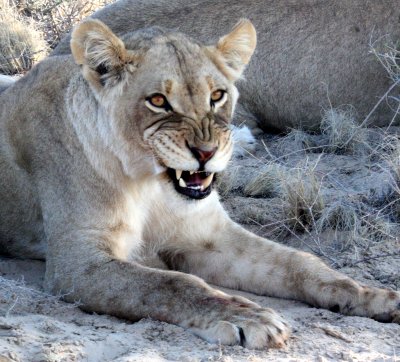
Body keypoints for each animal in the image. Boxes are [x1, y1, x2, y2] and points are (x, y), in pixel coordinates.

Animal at [0, 18, 398, 350]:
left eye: (217, 96)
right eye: (158, 101)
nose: (206, 152)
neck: (150, 184)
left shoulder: (209, 233)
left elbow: (300, 261)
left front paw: (374, 296)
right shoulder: (78, 263)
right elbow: (172, 284)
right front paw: (248, 318)